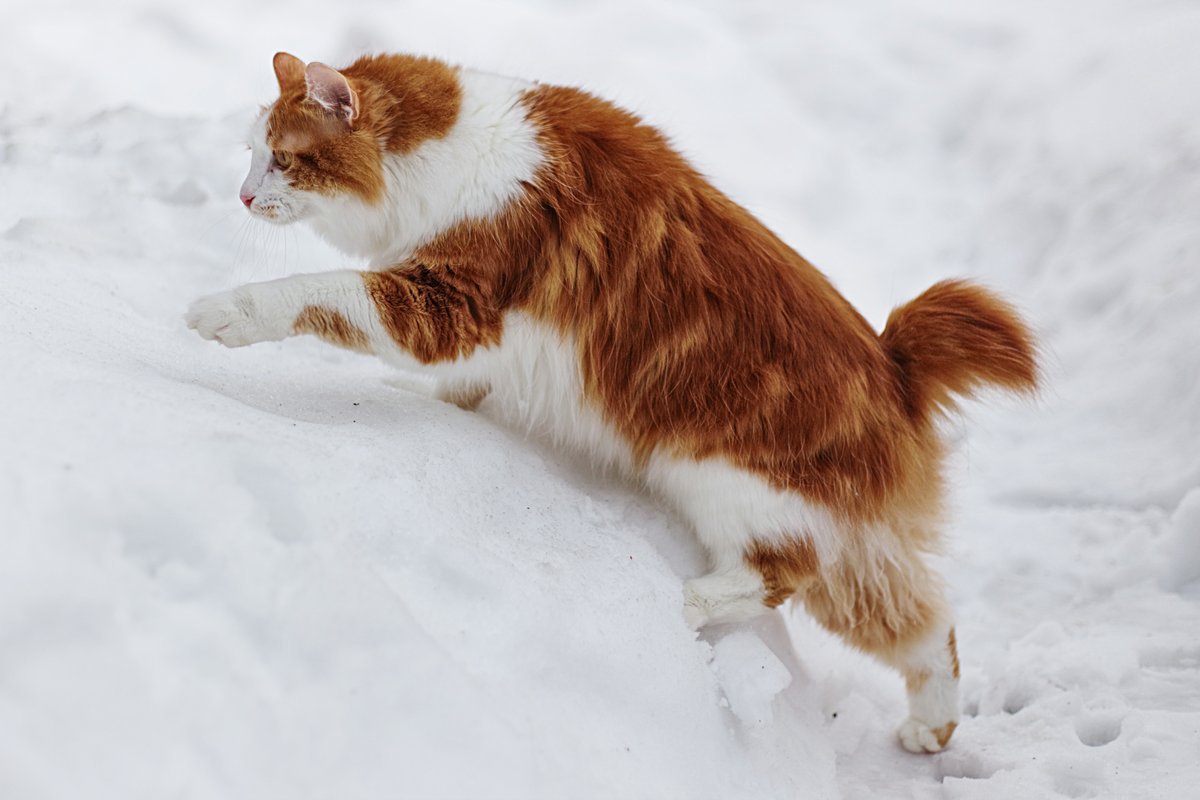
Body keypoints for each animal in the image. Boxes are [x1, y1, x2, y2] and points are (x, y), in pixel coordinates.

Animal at [182, 50, 1036, 753]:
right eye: (253, 155)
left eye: (284, 160)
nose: (244, 196)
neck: (451, 153)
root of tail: (896, 363)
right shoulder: (479, 337)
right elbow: (459, 389)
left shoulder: (449, 303)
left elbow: (314, 293)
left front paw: (227, 312)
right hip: (850, 557)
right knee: (928, 624)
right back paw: (930, 730)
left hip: (740, 490)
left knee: (777, 577)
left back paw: (677, 604)